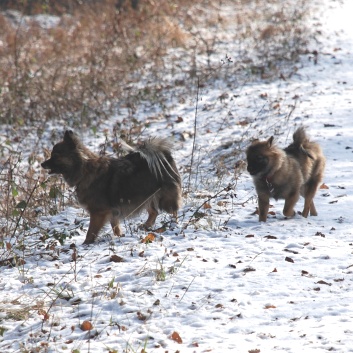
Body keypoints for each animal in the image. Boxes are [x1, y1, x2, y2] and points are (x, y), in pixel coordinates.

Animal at [41, 131, 182, 243]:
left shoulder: (98, 212)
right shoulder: (112, 212)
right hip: (146, 196)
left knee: (173, 211)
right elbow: (115, 227)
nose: (42, 164)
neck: (85, 171)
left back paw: (174, 225)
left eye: (55, 156)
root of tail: (165, 156)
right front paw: (120, 236)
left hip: (163, 198)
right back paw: (145, 226)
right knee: (154, 212)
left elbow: (91, 231)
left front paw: (86, 243)